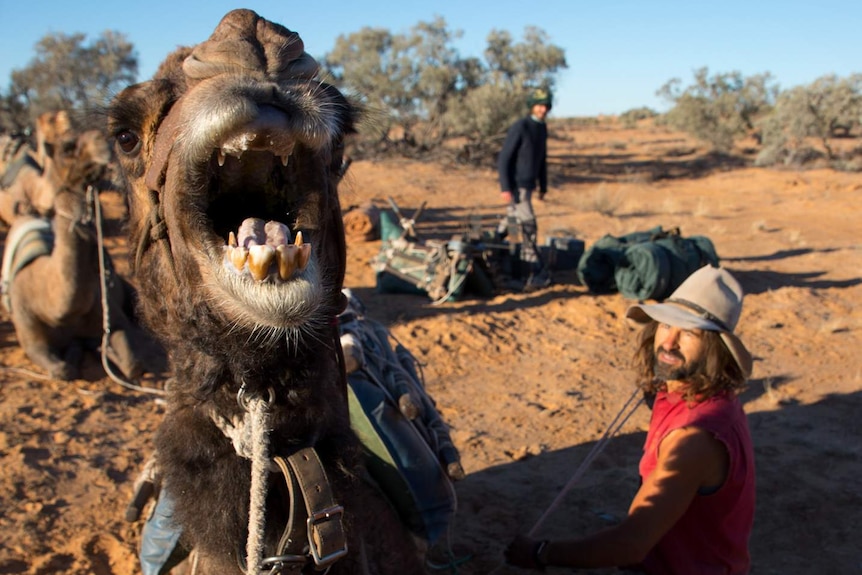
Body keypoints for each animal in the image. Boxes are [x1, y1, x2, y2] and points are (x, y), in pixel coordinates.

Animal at [2, 130, 151, 382]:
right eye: (67, 149)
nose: (102, 140)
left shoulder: (111, 316)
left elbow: (134, 364)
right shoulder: (28, 332)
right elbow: (62, 370)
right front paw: (82, 351)